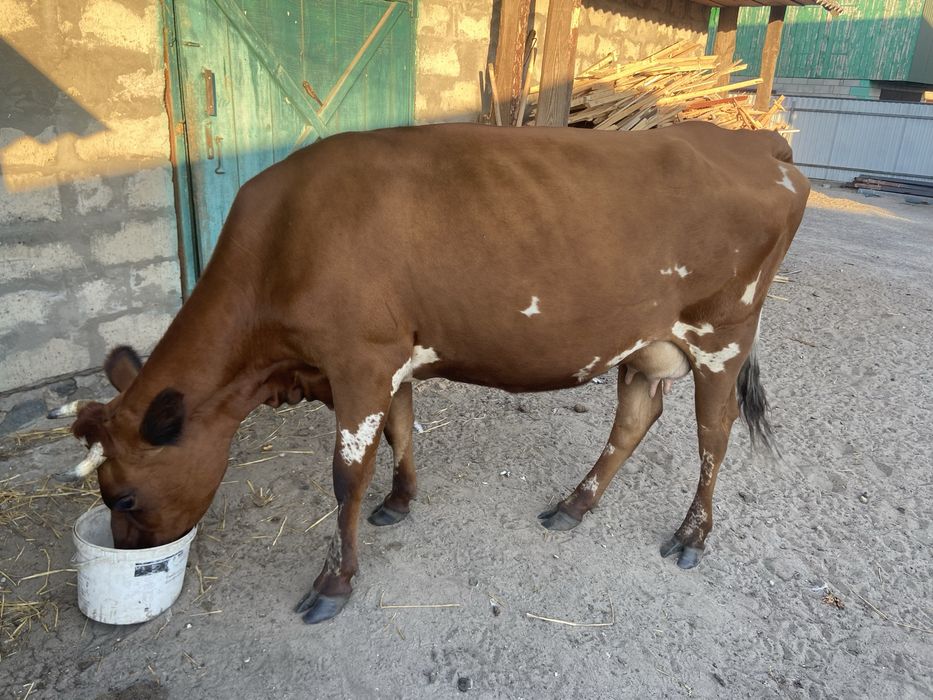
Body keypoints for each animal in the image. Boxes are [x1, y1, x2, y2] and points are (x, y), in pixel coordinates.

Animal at [52, 121, 809, 624]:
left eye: (123, 498)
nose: (134, 550)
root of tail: (752, 140)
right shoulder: (389, 359)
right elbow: (401, 432)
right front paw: (401, 500)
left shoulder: (359, 360)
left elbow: (344, 476)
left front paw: (334, 583)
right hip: (644, 343)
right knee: (635, 418)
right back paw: (574, 505)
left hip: (723, 334)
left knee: (713, 435)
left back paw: (691, 536)